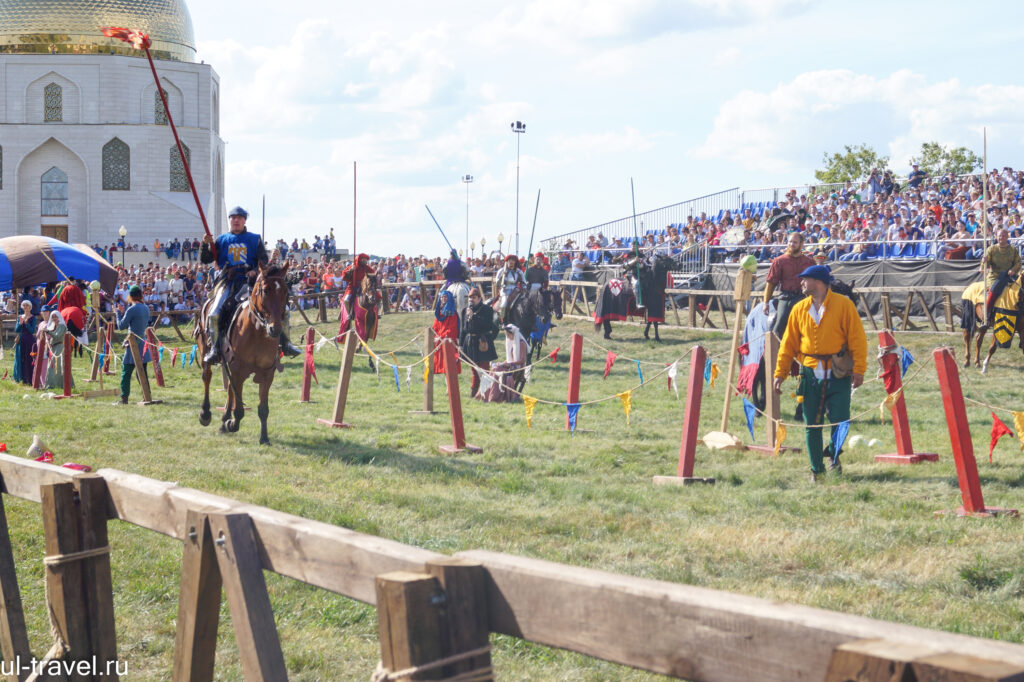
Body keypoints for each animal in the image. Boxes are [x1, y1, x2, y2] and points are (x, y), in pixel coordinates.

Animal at [196, 262, 290, 444]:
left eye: (285, 291)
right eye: (265, 290)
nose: (275, 329)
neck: (256, 331)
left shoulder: (267, 373)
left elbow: (263, 408)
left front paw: (264, 437)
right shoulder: (238, 370)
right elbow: (239, 409)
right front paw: (232, 424)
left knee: (229, 389)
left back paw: (224, 419)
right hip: (205, 350)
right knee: (207, 376)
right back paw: (205, 414)